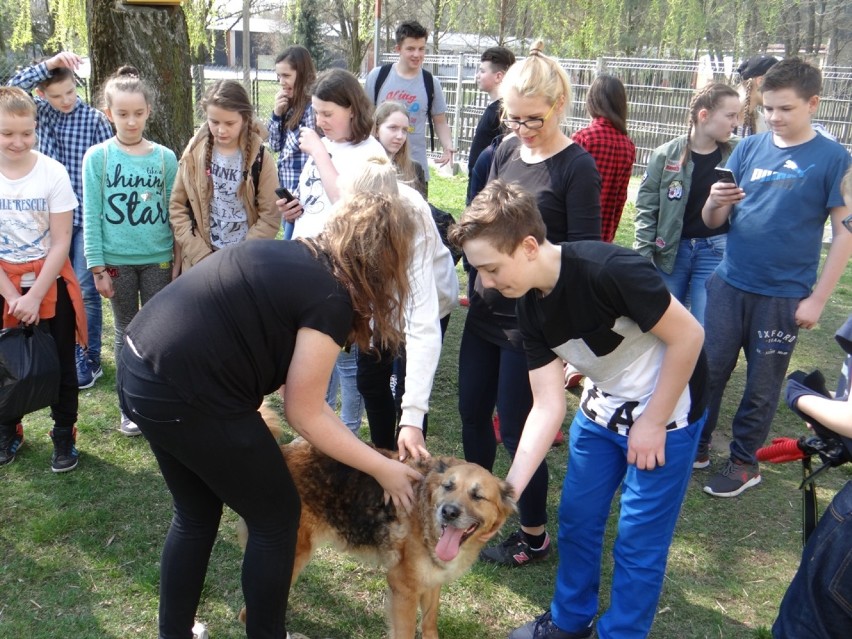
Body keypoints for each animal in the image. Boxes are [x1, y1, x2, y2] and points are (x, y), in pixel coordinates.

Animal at [236, 412, 516, 636]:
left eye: (477, 496)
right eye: (448, 486)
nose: (448, 513)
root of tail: (284, 451)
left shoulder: (432, 583)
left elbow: (429, 624)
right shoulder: (403, 589)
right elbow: (405, 632)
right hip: (293, 554)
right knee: (248, 611)